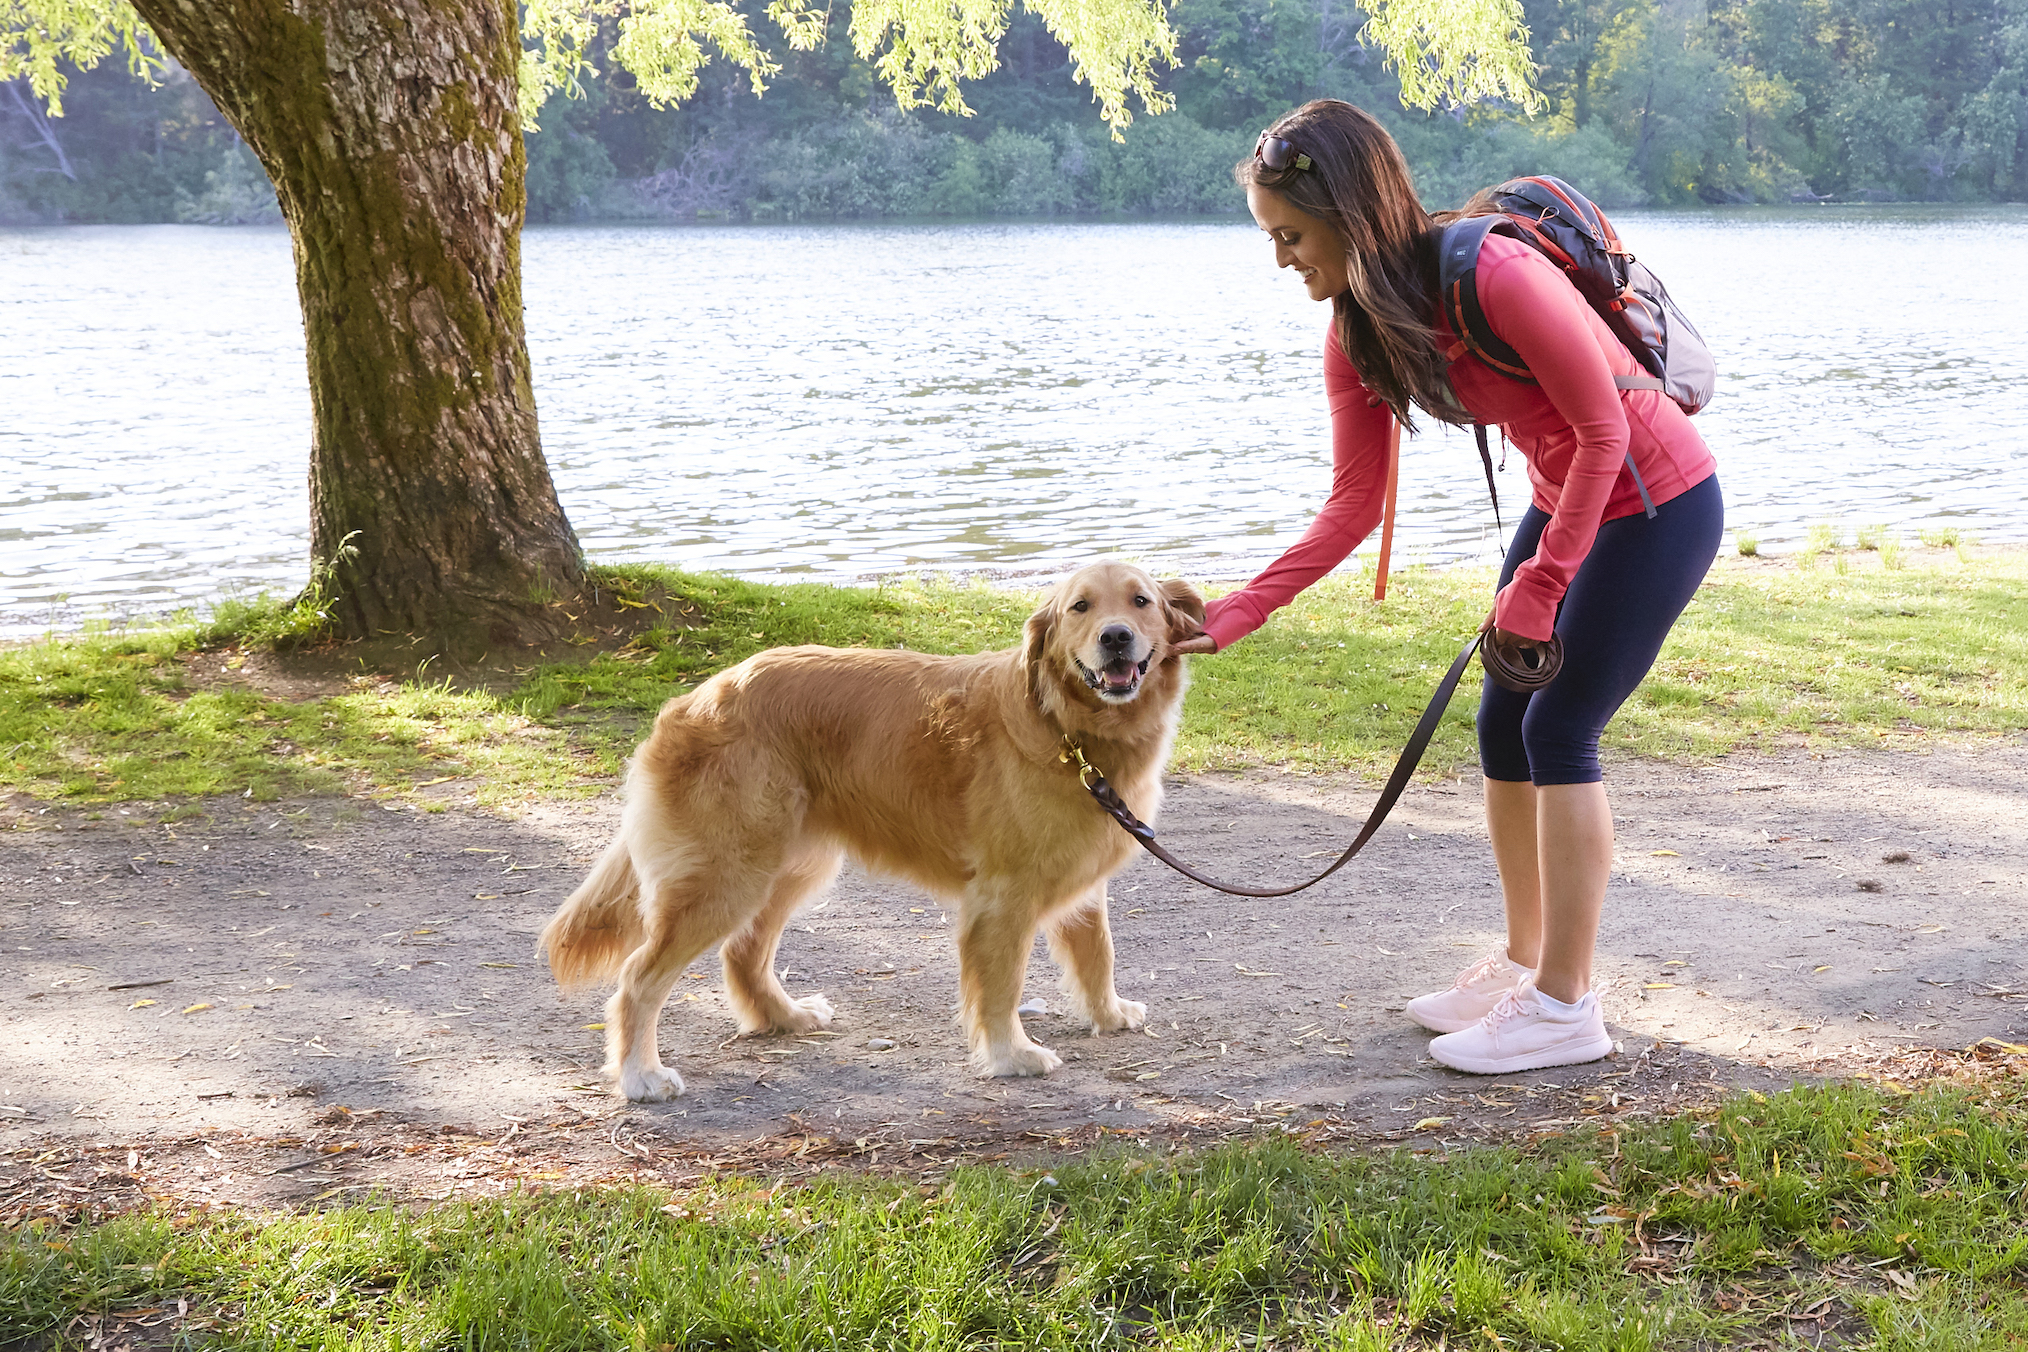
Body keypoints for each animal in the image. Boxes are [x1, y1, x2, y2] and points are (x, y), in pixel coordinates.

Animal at [539, 559, 1200, 1102]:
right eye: (1080, 607)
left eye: (1140, 601)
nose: (1116, 637)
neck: (1069, 729)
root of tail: (696, 697)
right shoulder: (1003, 895)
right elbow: (1002, 985)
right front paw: (1011, 1055)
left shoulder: (1079, 874)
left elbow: (1097, 952)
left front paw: (1108, 1015)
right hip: (725, 875)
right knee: (639, 978)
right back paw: (640, 1076)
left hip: (789, 864)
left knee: (744, 951)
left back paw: (782, 1017)